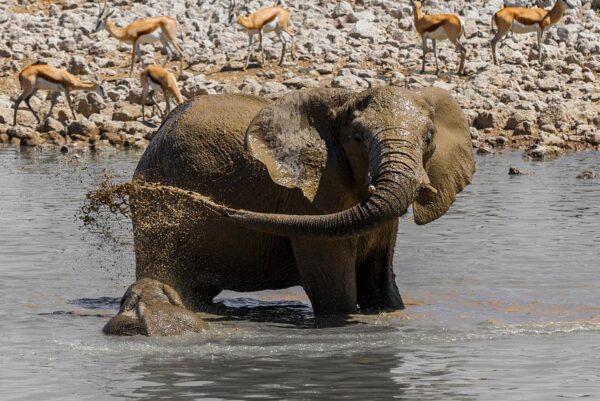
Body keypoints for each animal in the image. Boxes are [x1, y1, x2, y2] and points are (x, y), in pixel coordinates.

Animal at [131, 86, 474, 316]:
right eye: (358, 139)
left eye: (428, 137)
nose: (218, 207)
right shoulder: (306, 201)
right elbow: (336, 294)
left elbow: (381, 287)